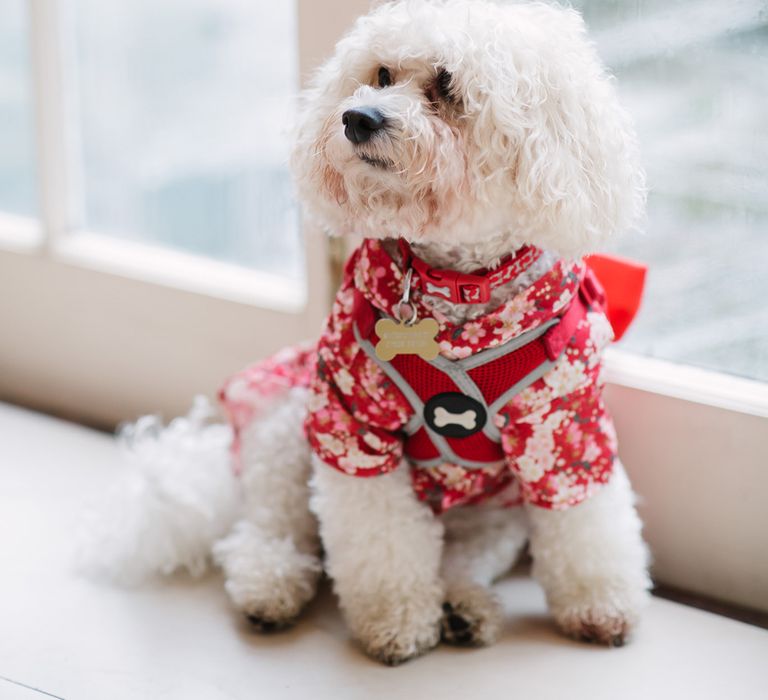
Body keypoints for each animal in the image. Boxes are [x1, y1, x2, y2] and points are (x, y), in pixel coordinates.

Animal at [82, 0, 648, 668]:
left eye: (448, 86)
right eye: (380, 75)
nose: (357, 117)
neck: (456, 289)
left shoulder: (564, 433)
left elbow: (588, 527)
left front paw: (600, 605)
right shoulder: (353, 426)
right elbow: (381, 538)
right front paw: (396, 622)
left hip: (492, 510)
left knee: (465, 553)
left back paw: (464, 606)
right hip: (288, 432)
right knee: (264, 529)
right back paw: (271, 584)